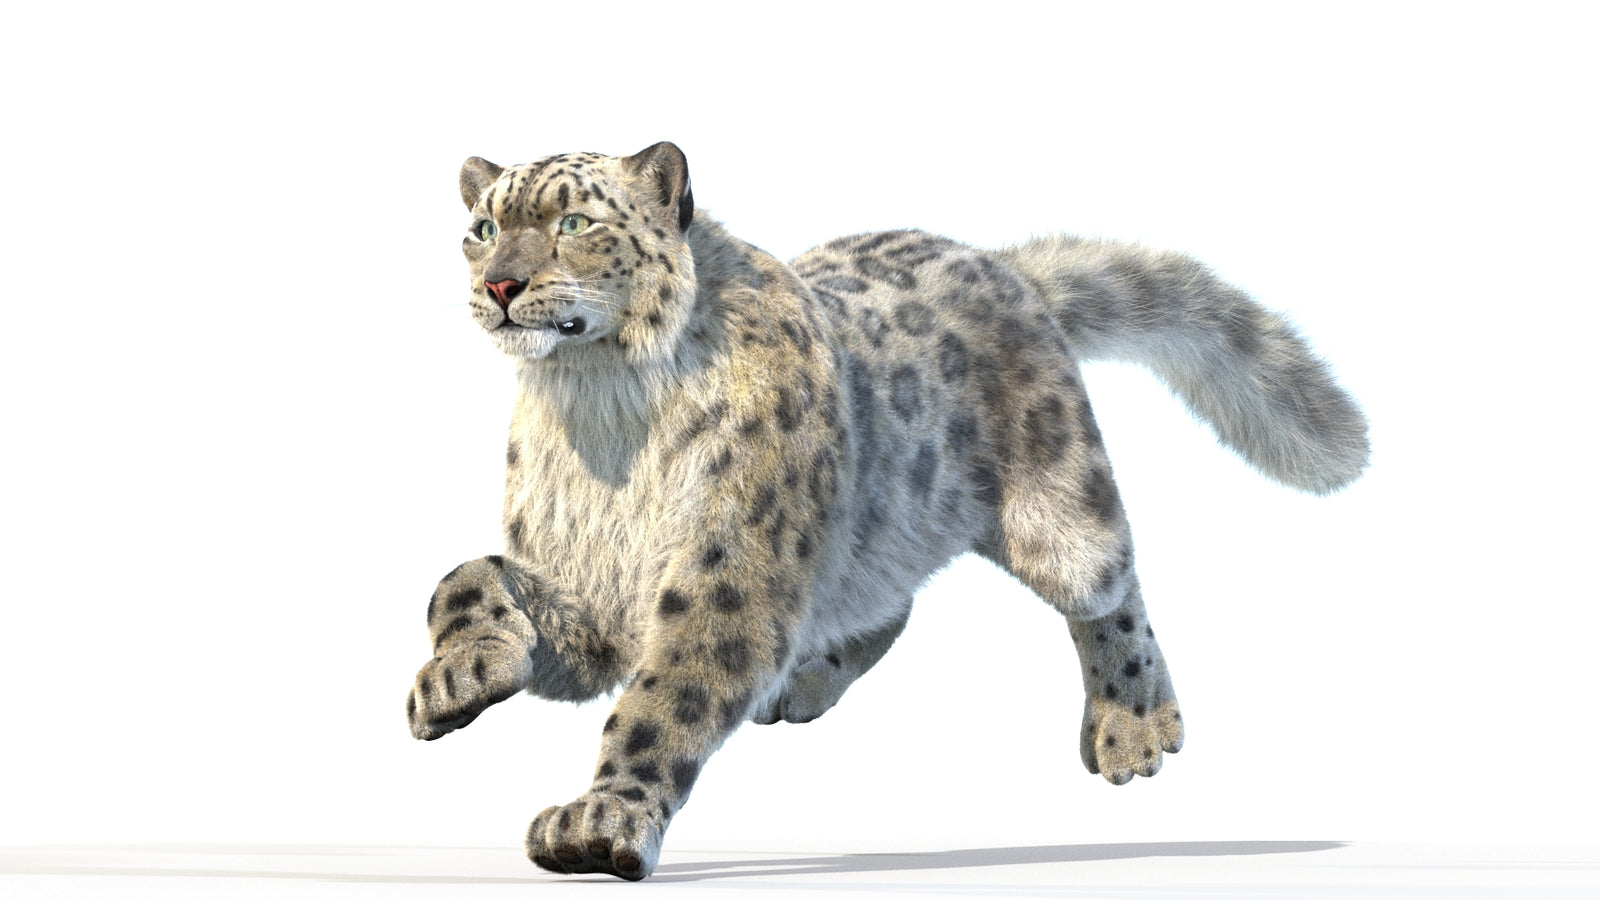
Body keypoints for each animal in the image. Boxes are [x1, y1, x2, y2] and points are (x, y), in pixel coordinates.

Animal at [404, 141, 1369, 881]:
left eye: (575, 223)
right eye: (484, 228)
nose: (501, 285)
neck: (601, 417)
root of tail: (1000, 264)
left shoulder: (728, 569)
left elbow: (662, 698)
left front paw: (602, 822)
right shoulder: (590, 590)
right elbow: (467, 575)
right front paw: (455, 680)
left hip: (1059, 511)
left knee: (1110, 585)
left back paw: (1135, 729)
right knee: (885, 603)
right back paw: (803, 680)